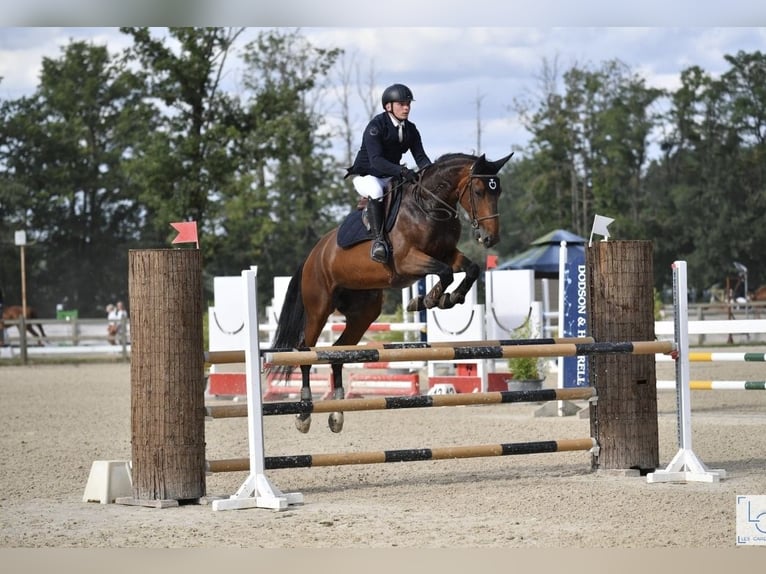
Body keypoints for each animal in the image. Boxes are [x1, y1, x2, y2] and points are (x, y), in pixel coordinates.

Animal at [270, 151, 516, 434]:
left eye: (498, 191)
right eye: (478, 191)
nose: (490, 239)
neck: (429, 205)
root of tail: (312, 255)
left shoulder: (448, 254)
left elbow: (471, 269)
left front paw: (449, 298)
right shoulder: (409, 261)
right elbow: (445, 273)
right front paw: (427, 299)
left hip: (363, 313)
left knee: (338, 354)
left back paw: (337, 415)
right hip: (319, 308)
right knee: (306, 352)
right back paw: (304, 415)